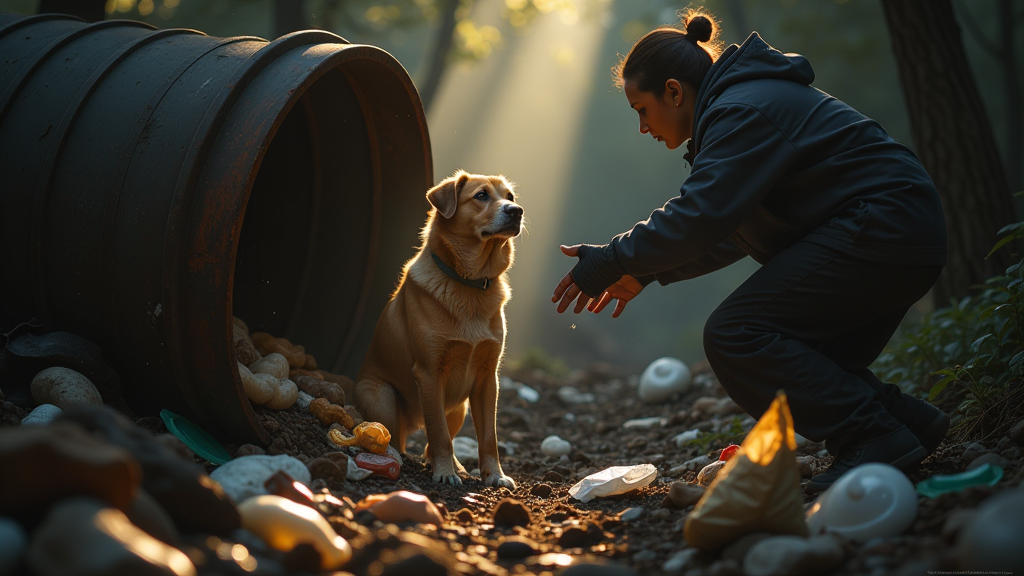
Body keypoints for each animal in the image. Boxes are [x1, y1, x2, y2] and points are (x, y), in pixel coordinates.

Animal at [354, 169, 528, 483]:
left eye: (509, 196)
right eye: (481, 195)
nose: (516, 211)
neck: (470, 285)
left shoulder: (488, 378)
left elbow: (489, 437)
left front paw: (494, 475)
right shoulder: (429, 373)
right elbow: (438, 435)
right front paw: (445, 474)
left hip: (459, 407)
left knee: (428, 445)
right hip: (381, 397)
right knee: (395, 439)